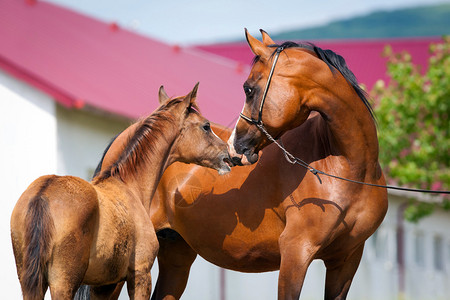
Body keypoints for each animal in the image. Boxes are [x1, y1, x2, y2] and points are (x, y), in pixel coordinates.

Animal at [9, 84, 232, 300]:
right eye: (206, 126)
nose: (228, 156)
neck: (129, 185)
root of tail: (42, 195)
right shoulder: (140, 275)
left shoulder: (102, 286)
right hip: (63, 283)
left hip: (30, 283)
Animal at [96, 29, 386, 298]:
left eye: (248, 88)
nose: (234, 148)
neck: (348, 168)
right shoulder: (296, 255)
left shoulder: (346, 261)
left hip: (176, 256)